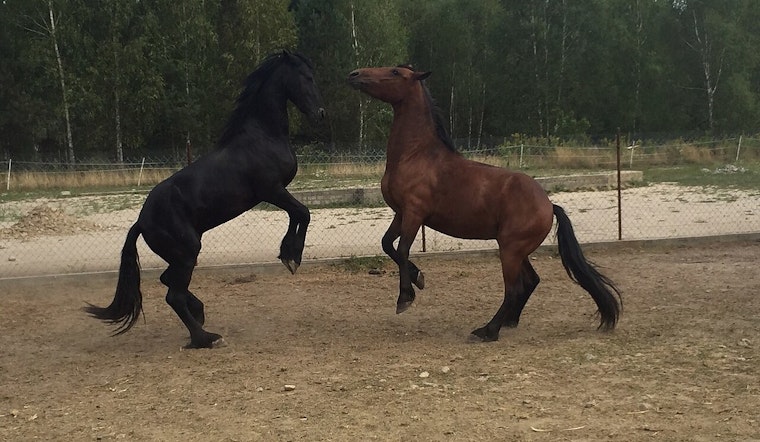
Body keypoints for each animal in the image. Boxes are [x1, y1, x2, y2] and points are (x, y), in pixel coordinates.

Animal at [85, 51, 325, 348]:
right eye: (307, 77)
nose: (320, 114)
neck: (262, 136)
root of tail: (141, 222)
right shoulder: (272, 190)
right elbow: (303, 212)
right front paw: (292, 256)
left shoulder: (275, 192)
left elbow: (297, 214)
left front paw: (287, 254)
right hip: (188, 251)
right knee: (173, 294)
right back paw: (205, 338)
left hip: (181, 255)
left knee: (169, 281)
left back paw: (199, 315)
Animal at [347, 65, 621, 341]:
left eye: (395, 72)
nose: (354, 75)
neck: (415, 155)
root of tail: (549, 205)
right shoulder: (400, 214)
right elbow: (386, 244)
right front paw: (418, 277)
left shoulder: (414, 213)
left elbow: (402, 250)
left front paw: (405, 297)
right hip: (517, 250)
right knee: (531, 281)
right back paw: (509, 321)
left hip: (510, 250)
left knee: (513, 289)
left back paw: (488, 330)